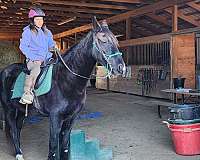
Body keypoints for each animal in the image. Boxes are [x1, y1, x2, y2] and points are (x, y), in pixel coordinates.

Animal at [0, 17, 125, 160]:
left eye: (116, 40)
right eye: (103, 40)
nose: (121, 68)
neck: (66, 80)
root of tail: (5, 70)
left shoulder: (71, 118)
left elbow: (64, 145)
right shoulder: (55, 117)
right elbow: (53, 145)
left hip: (21, 111)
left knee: (18, 128)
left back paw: (19, 150)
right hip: (9, 109)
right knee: (13, 130)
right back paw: (19, 153)